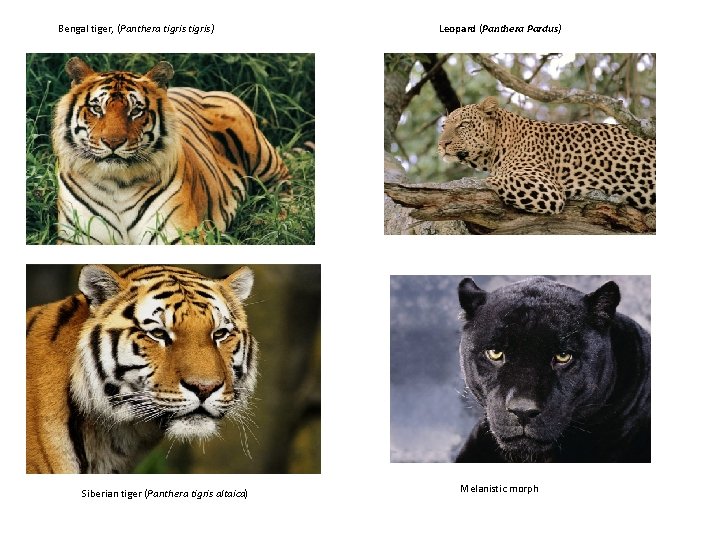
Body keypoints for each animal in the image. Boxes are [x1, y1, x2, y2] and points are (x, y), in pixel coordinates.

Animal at [51, 57, 291, 244]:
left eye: (136, 111)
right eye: (96, 108)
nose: (113, 142)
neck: (116, 185)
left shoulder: (179, 236)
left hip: (260, 153)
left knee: (283, 181)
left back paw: (278, 218)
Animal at [438, 96, 655, 214]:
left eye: (463, 125)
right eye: (444, 126)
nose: (442, 144)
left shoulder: (547, 188)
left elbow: (490, 180)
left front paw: (462, 183)